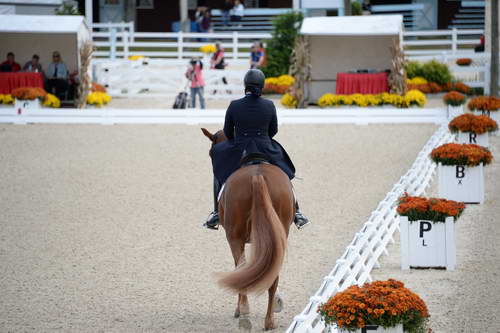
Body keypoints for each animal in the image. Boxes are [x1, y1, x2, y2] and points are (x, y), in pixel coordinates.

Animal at [201, 127, 294, 330]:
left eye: (211, 152)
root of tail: (257, 174)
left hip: (234, 237)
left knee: (241, 268)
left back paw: (244, 312)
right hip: (280, 231)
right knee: (272, 273)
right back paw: (269, 321)